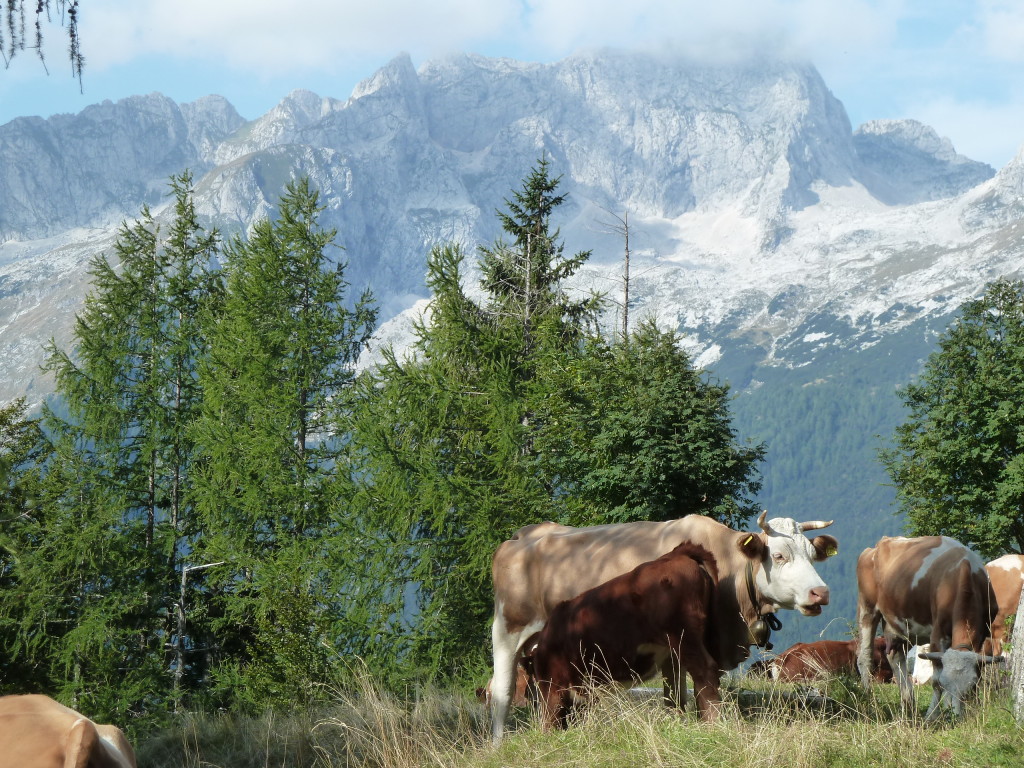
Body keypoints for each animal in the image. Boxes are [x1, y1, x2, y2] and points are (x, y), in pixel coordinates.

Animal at [528, 536, 720, 729]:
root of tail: (673, 555)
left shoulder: (552, 682)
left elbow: (551, 715)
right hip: (679, 647)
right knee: (678, 687)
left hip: (683, 636)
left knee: (704, 671)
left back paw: (712, 722)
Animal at [856, 536, 999, 720]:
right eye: (946, 683)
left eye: (970, 684)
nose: (957, 718)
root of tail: (880, 544)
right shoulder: (938, 634)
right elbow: (936, 680)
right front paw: (932, 715)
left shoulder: (982, 635)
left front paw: (971, 710)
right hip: (867, 609)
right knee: (864, 657)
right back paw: (869, 699)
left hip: (901, 624)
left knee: (896, 657)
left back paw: (908, 703)